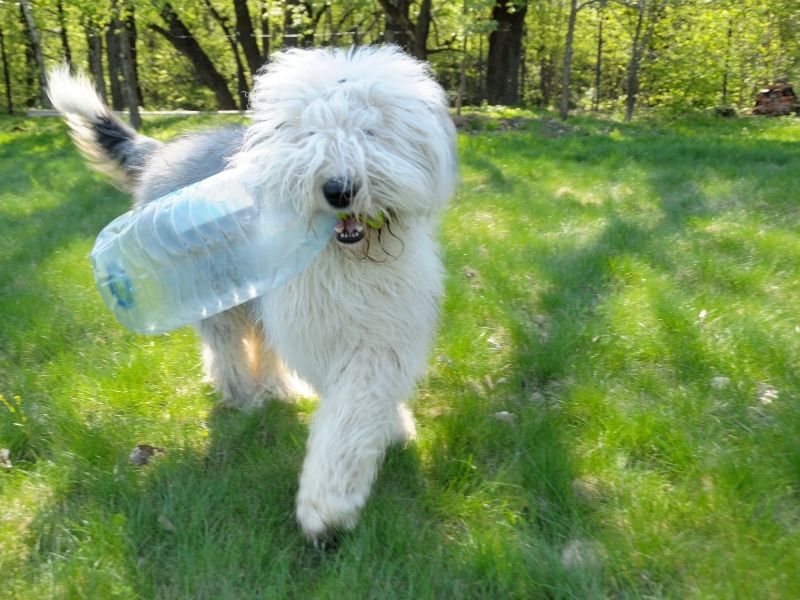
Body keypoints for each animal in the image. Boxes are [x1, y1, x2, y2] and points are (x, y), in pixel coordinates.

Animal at [50, 47, 460, 540]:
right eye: (309, 133)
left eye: (371, 131)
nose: (338, 189)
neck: (349, 258)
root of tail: (165, 150)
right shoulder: (318, 326)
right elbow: (346, 406)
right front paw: (327, 506)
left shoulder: (384, 324)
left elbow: (366, 391)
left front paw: (389, 430)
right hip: (212, 292)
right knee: (225, 344)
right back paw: (240, 394)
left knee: (260, 343)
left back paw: (274, 388)